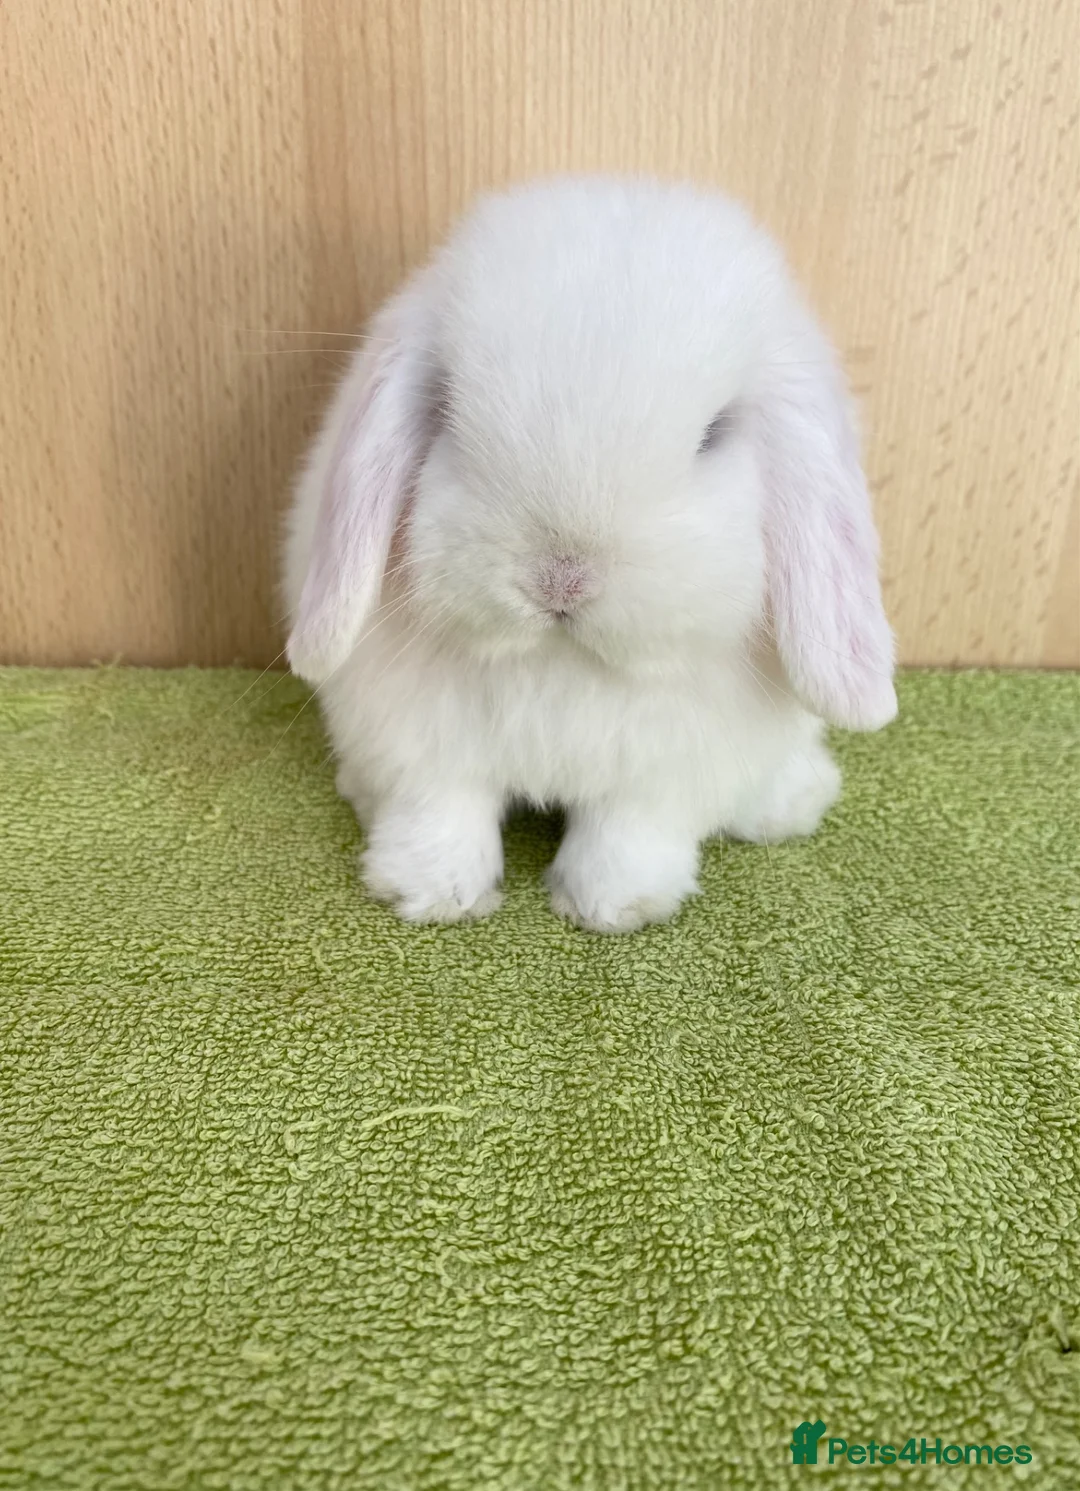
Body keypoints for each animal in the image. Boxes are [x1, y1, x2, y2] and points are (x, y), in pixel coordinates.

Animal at [282, 174, 896, 932]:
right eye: (448, 406)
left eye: (714, 434)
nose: (561, 580)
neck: (563, 664)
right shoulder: (424, 749)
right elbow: (441, 815)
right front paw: (432, 895)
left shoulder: (661, 776)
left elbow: (629, 832)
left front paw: (612, 907)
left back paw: (793, 802)